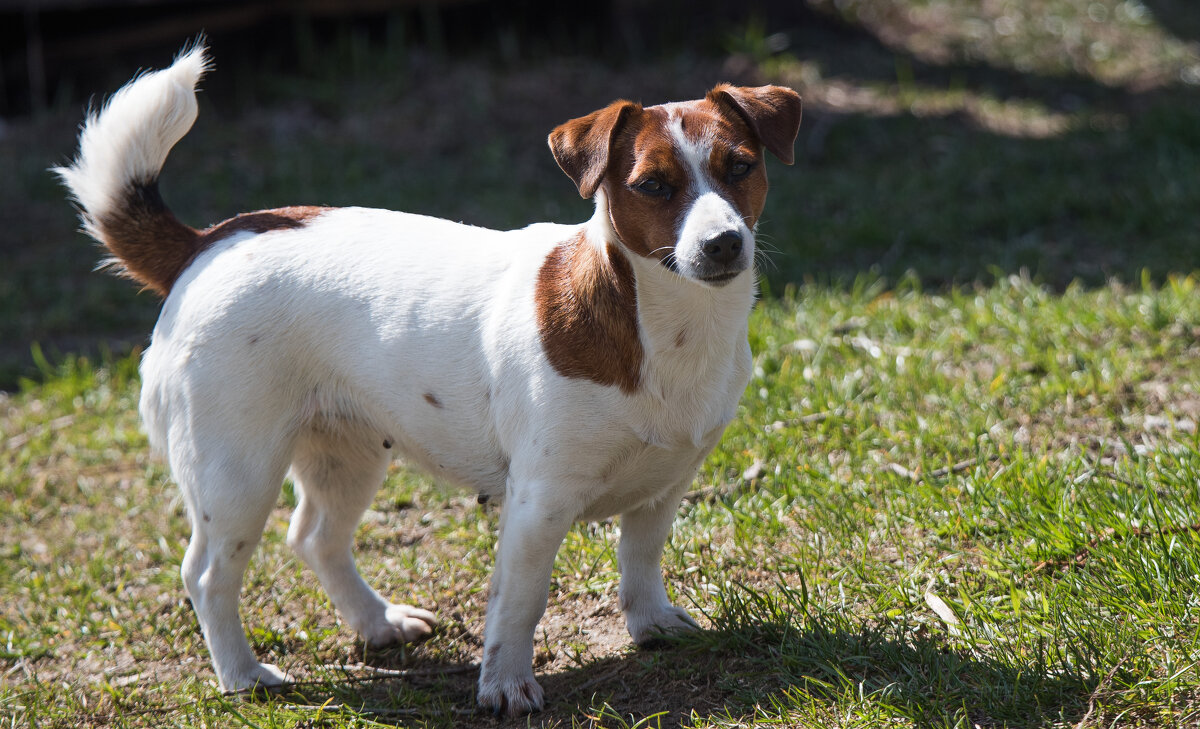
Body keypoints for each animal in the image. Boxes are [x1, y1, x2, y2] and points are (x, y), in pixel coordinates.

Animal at [58, 45, 806, 719]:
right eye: (653, 186)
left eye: (740, 168)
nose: (723, 243)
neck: (668, 324)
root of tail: (206, 241)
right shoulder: (538, 502)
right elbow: (519, 602)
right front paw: (505, 686)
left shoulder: (666, 482)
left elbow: (641, 558)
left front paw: (651, 626)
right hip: (237, 473)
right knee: (209, 574)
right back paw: (242, 675)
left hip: (348, 452)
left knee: (316, 537)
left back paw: (377, 622)